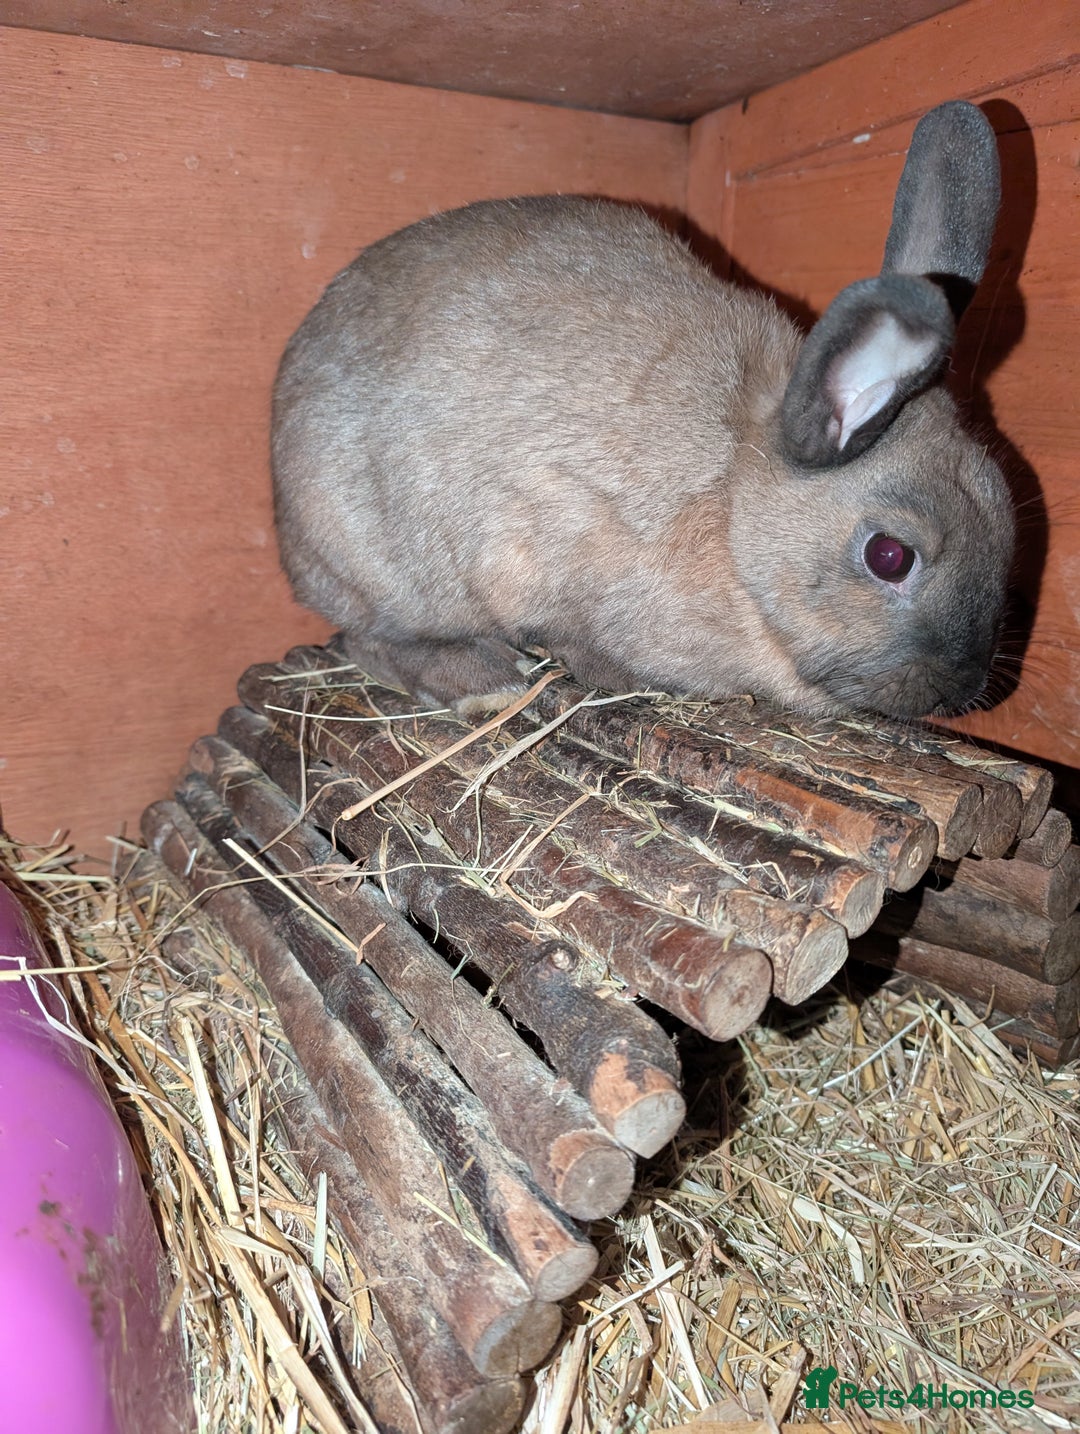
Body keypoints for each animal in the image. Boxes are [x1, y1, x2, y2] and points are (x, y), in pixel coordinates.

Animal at [271, 100, 1014, 720]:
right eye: (890, 556)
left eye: (1007, 514)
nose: (962, 690)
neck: (736, 504)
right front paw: (611, 676)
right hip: (373, 561)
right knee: (366, 640)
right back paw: (486, 680)